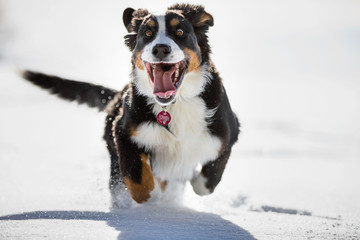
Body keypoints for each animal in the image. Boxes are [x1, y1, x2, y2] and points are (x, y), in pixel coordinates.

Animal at [23, 2, 242, 207]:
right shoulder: (122, 130)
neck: (175, 103)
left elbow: (207, 181)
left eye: (180, 33)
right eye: (147, 34)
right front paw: (146, 196)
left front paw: (194, 181)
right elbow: (136, 178)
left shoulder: (228, 133)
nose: (160, 48)